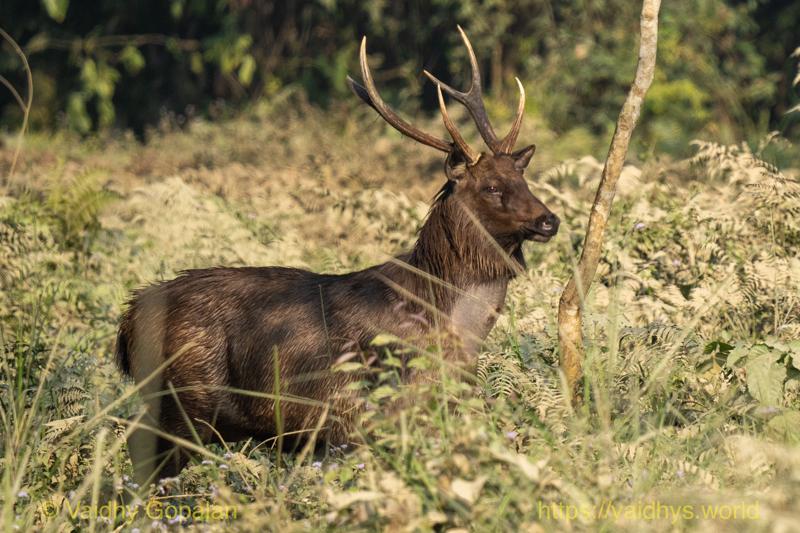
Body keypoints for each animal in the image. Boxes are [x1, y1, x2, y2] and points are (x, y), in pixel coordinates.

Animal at [116, 26, 559, 488]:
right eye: (491, 186)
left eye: (522, 178)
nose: (550, 220)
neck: (445, 323)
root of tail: (128, 318)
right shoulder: (356, 417)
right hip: (184, 396)